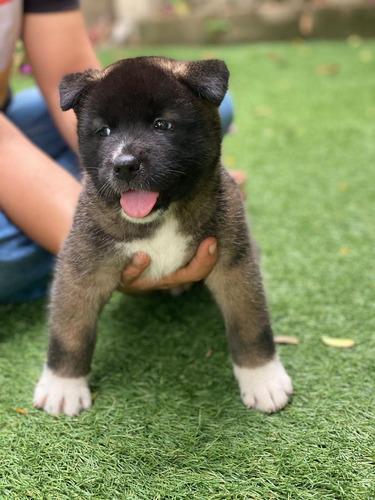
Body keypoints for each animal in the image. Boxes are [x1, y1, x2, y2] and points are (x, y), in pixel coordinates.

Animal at [33, 57, 292, 418]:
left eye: (162, 125)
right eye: (104, 131)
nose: (124, 165)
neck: (161, 219)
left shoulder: (235, 264)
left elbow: (250, 324)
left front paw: (262, 377)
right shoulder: (81, 269)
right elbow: (70, 330)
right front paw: (63, 385)